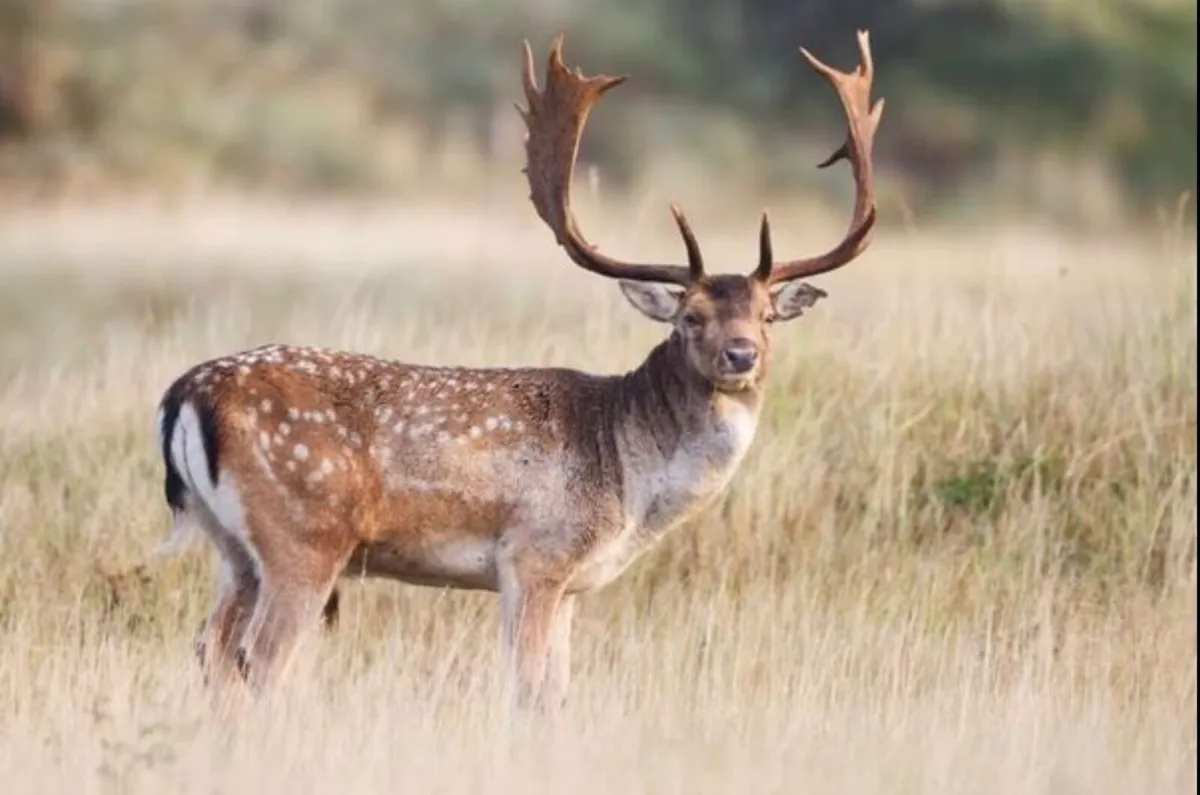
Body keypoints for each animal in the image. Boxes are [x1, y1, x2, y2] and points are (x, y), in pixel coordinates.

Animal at [155, 30, 883, 710]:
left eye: (766, 315)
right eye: (690, 317)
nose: (741, 355)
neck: (628, 478)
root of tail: (186, 394)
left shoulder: (571, 584)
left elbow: (557, 691)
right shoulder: (537, 555)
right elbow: (530, 689)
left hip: (233, 547)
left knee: (209, 648)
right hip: (303, 534)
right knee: (259, 658)